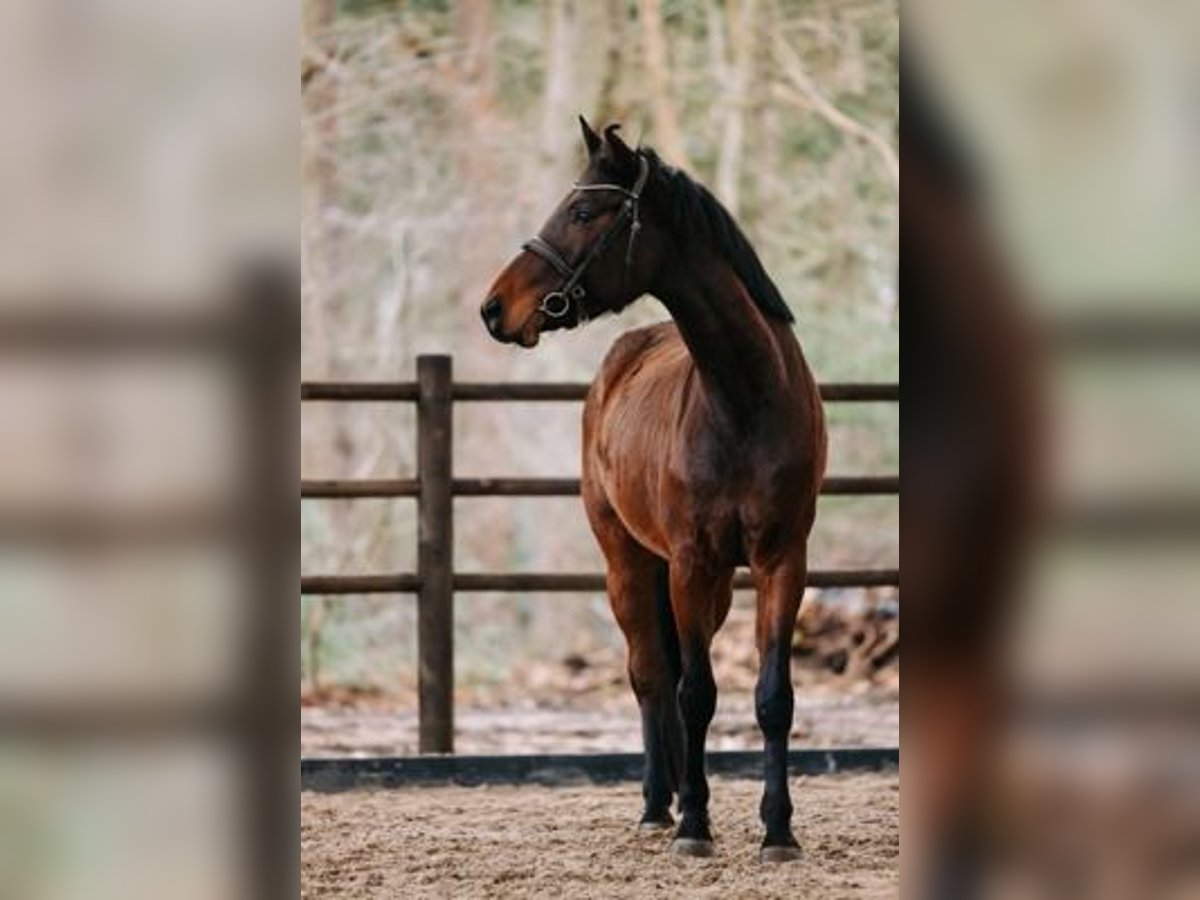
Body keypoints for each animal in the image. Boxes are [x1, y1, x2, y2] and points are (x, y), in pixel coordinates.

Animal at [477, 116, 825, 864]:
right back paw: (657, 807)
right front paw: (695, 824)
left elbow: (772, 697)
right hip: (629, 565)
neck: (746, 398)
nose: (494, 308)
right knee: (650, 675)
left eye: (583, 212)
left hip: (708, 585)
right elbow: (695, 694)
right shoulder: (691, 565)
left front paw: (778, 830)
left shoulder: (783, 562)